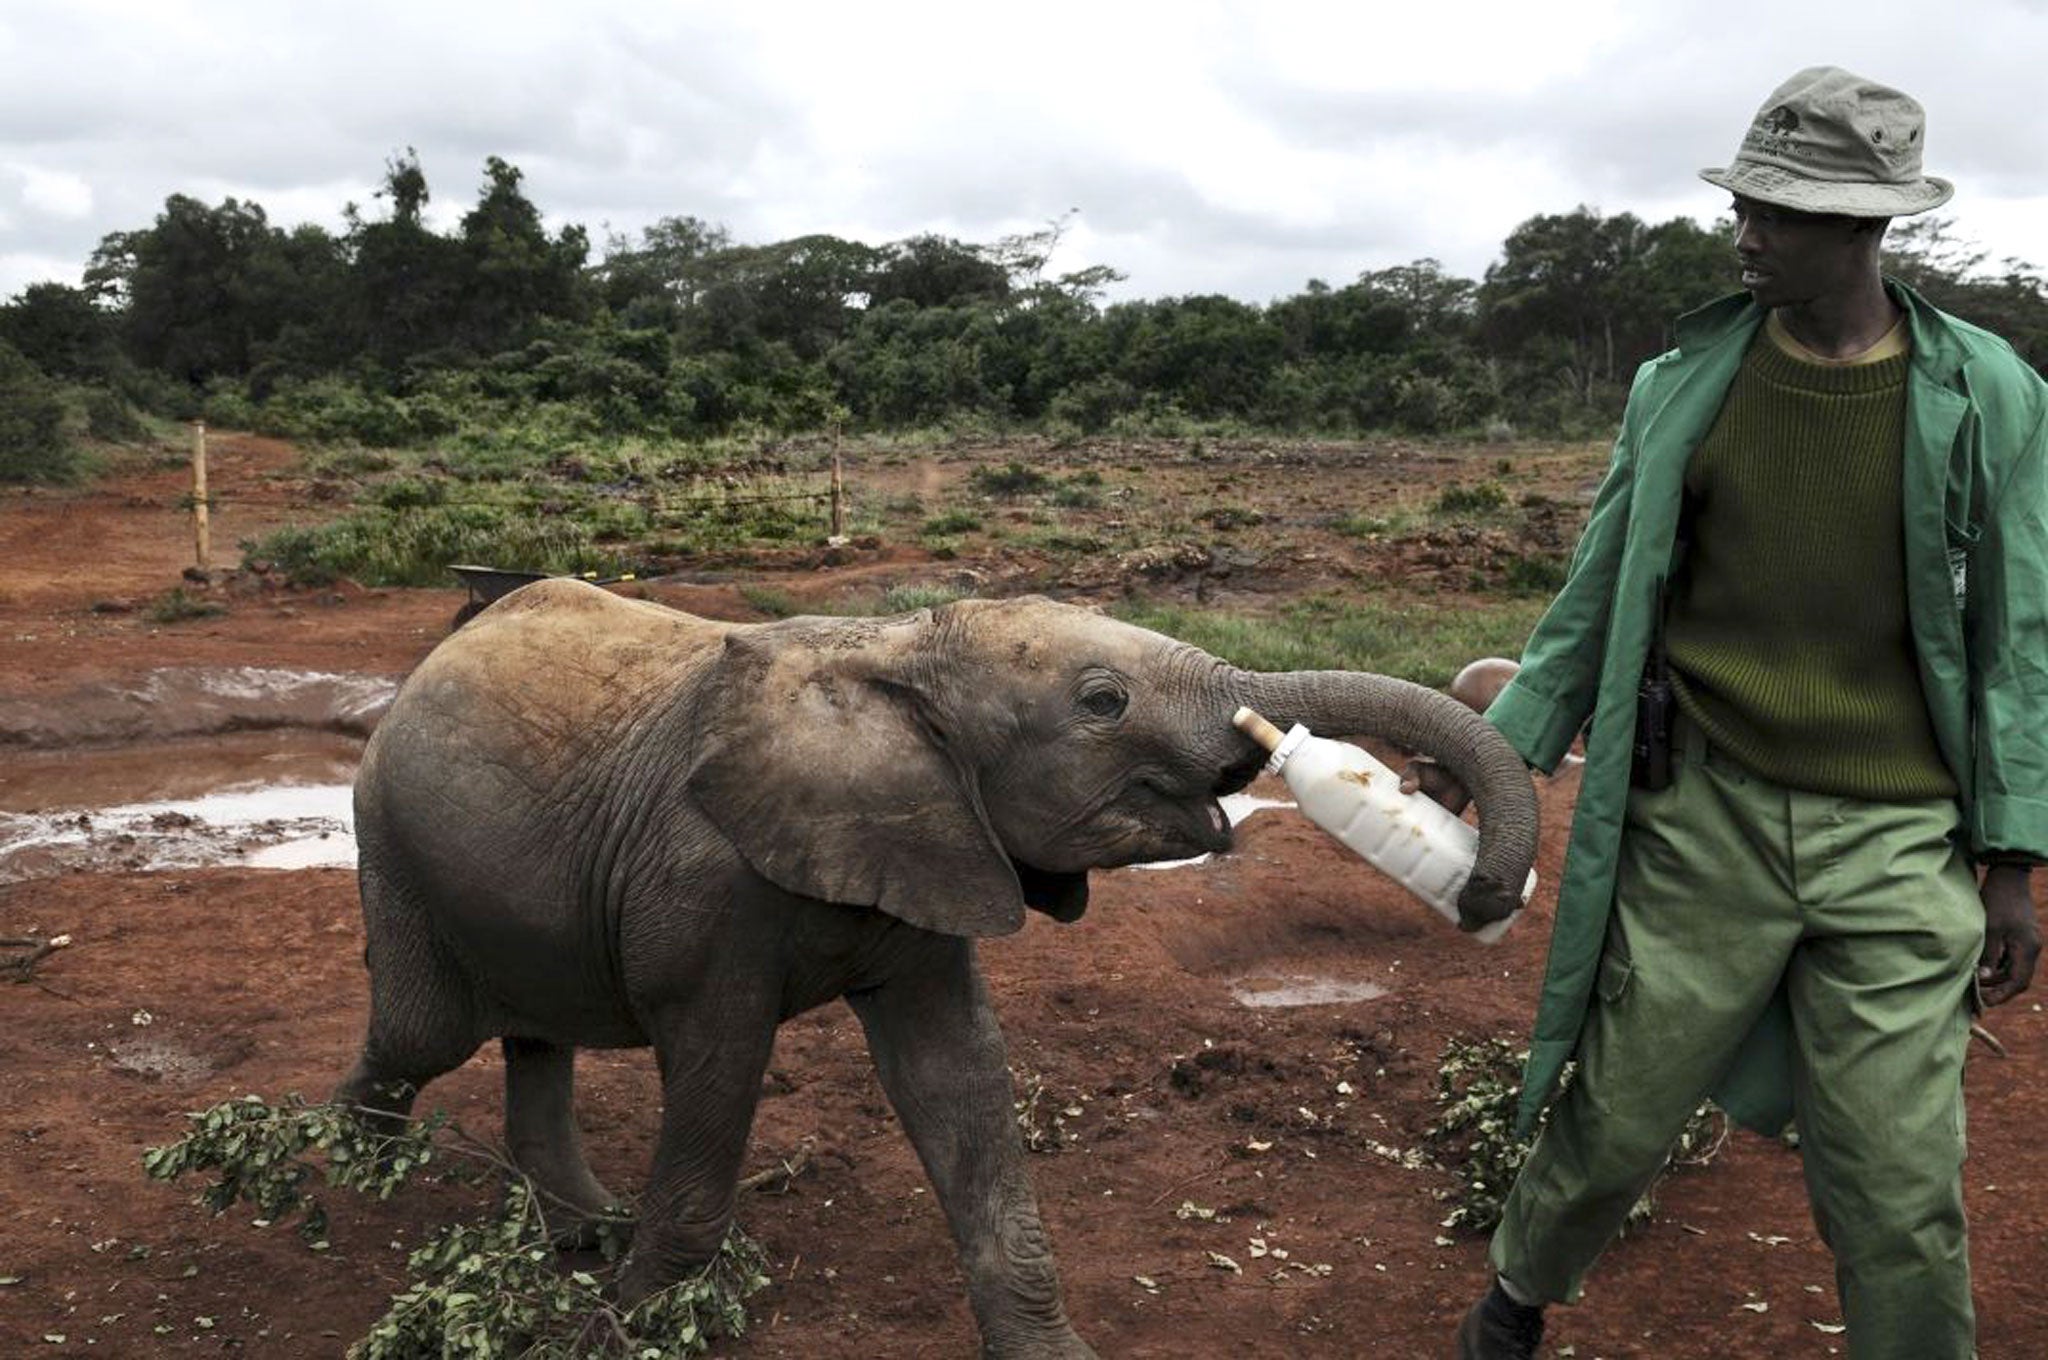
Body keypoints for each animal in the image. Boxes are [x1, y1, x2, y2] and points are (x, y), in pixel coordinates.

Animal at [331, 577, 1540, 1351]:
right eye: (1101, 702)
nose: (1484, 893)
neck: (894, 648)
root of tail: (431, 657)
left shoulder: (937, 844)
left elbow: (955, 1075)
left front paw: (1053, 1355)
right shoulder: (705, 884)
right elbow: (717, 1080)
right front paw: (625, 1330)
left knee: (536, 1029)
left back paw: (578, 1230)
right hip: (390, 832)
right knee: (427, 1030)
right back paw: (354, 1176)